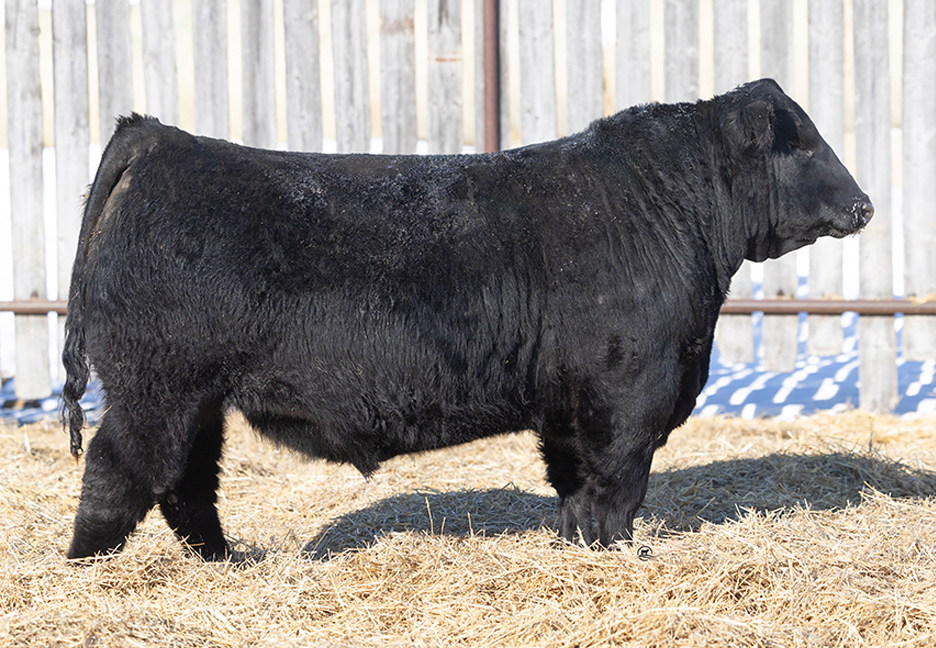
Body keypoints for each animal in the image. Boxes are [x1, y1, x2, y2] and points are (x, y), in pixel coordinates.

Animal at [62, 78, 872, 560]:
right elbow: (615, 485)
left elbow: (576, 487)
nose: (864, 204)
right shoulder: (628, 395)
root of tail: (161, 138)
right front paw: (616, 554)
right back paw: (89, 565)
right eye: (801, 144)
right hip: (156, 387)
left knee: (184, 483)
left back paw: (225, 560)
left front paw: (580, 550)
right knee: (120, 469)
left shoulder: (567, 404)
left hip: (194, 400)